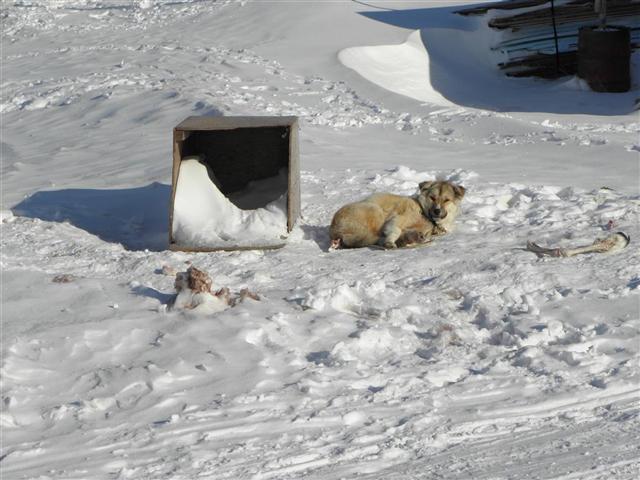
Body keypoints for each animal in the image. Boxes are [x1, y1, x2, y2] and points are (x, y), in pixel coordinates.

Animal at [330, 179, 464, 248]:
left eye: (446, 200)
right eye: (432, 198)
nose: (437, 210)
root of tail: (335, 230)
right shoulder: (396, 220)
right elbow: (395, 230)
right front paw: (390, 241)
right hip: (375, 210)